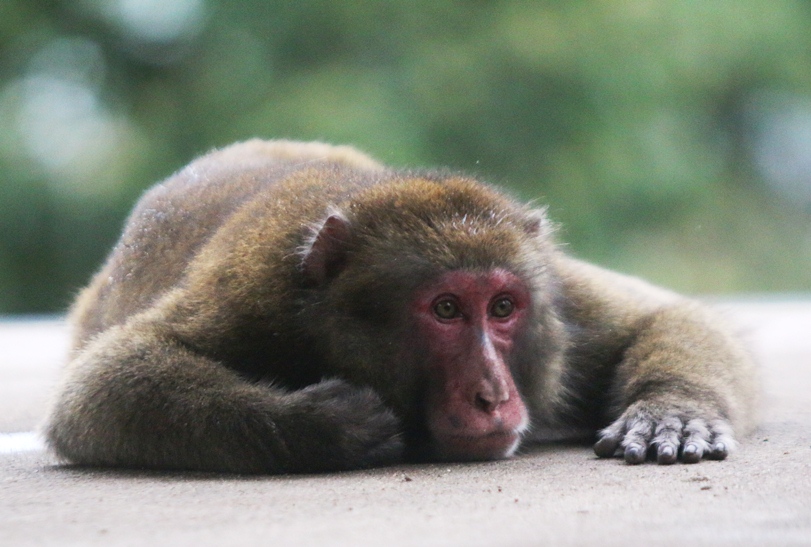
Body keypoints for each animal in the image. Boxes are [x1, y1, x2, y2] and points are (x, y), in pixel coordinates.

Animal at [42, 139, 756, 474]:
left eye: (503, 307)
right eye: (445, 310)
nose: (494, 396)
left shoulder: (555, 288)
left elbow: (665, 315)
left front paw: (671, 414)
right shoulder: (250, 298)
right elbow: (100, 387)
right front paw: (318, 425)